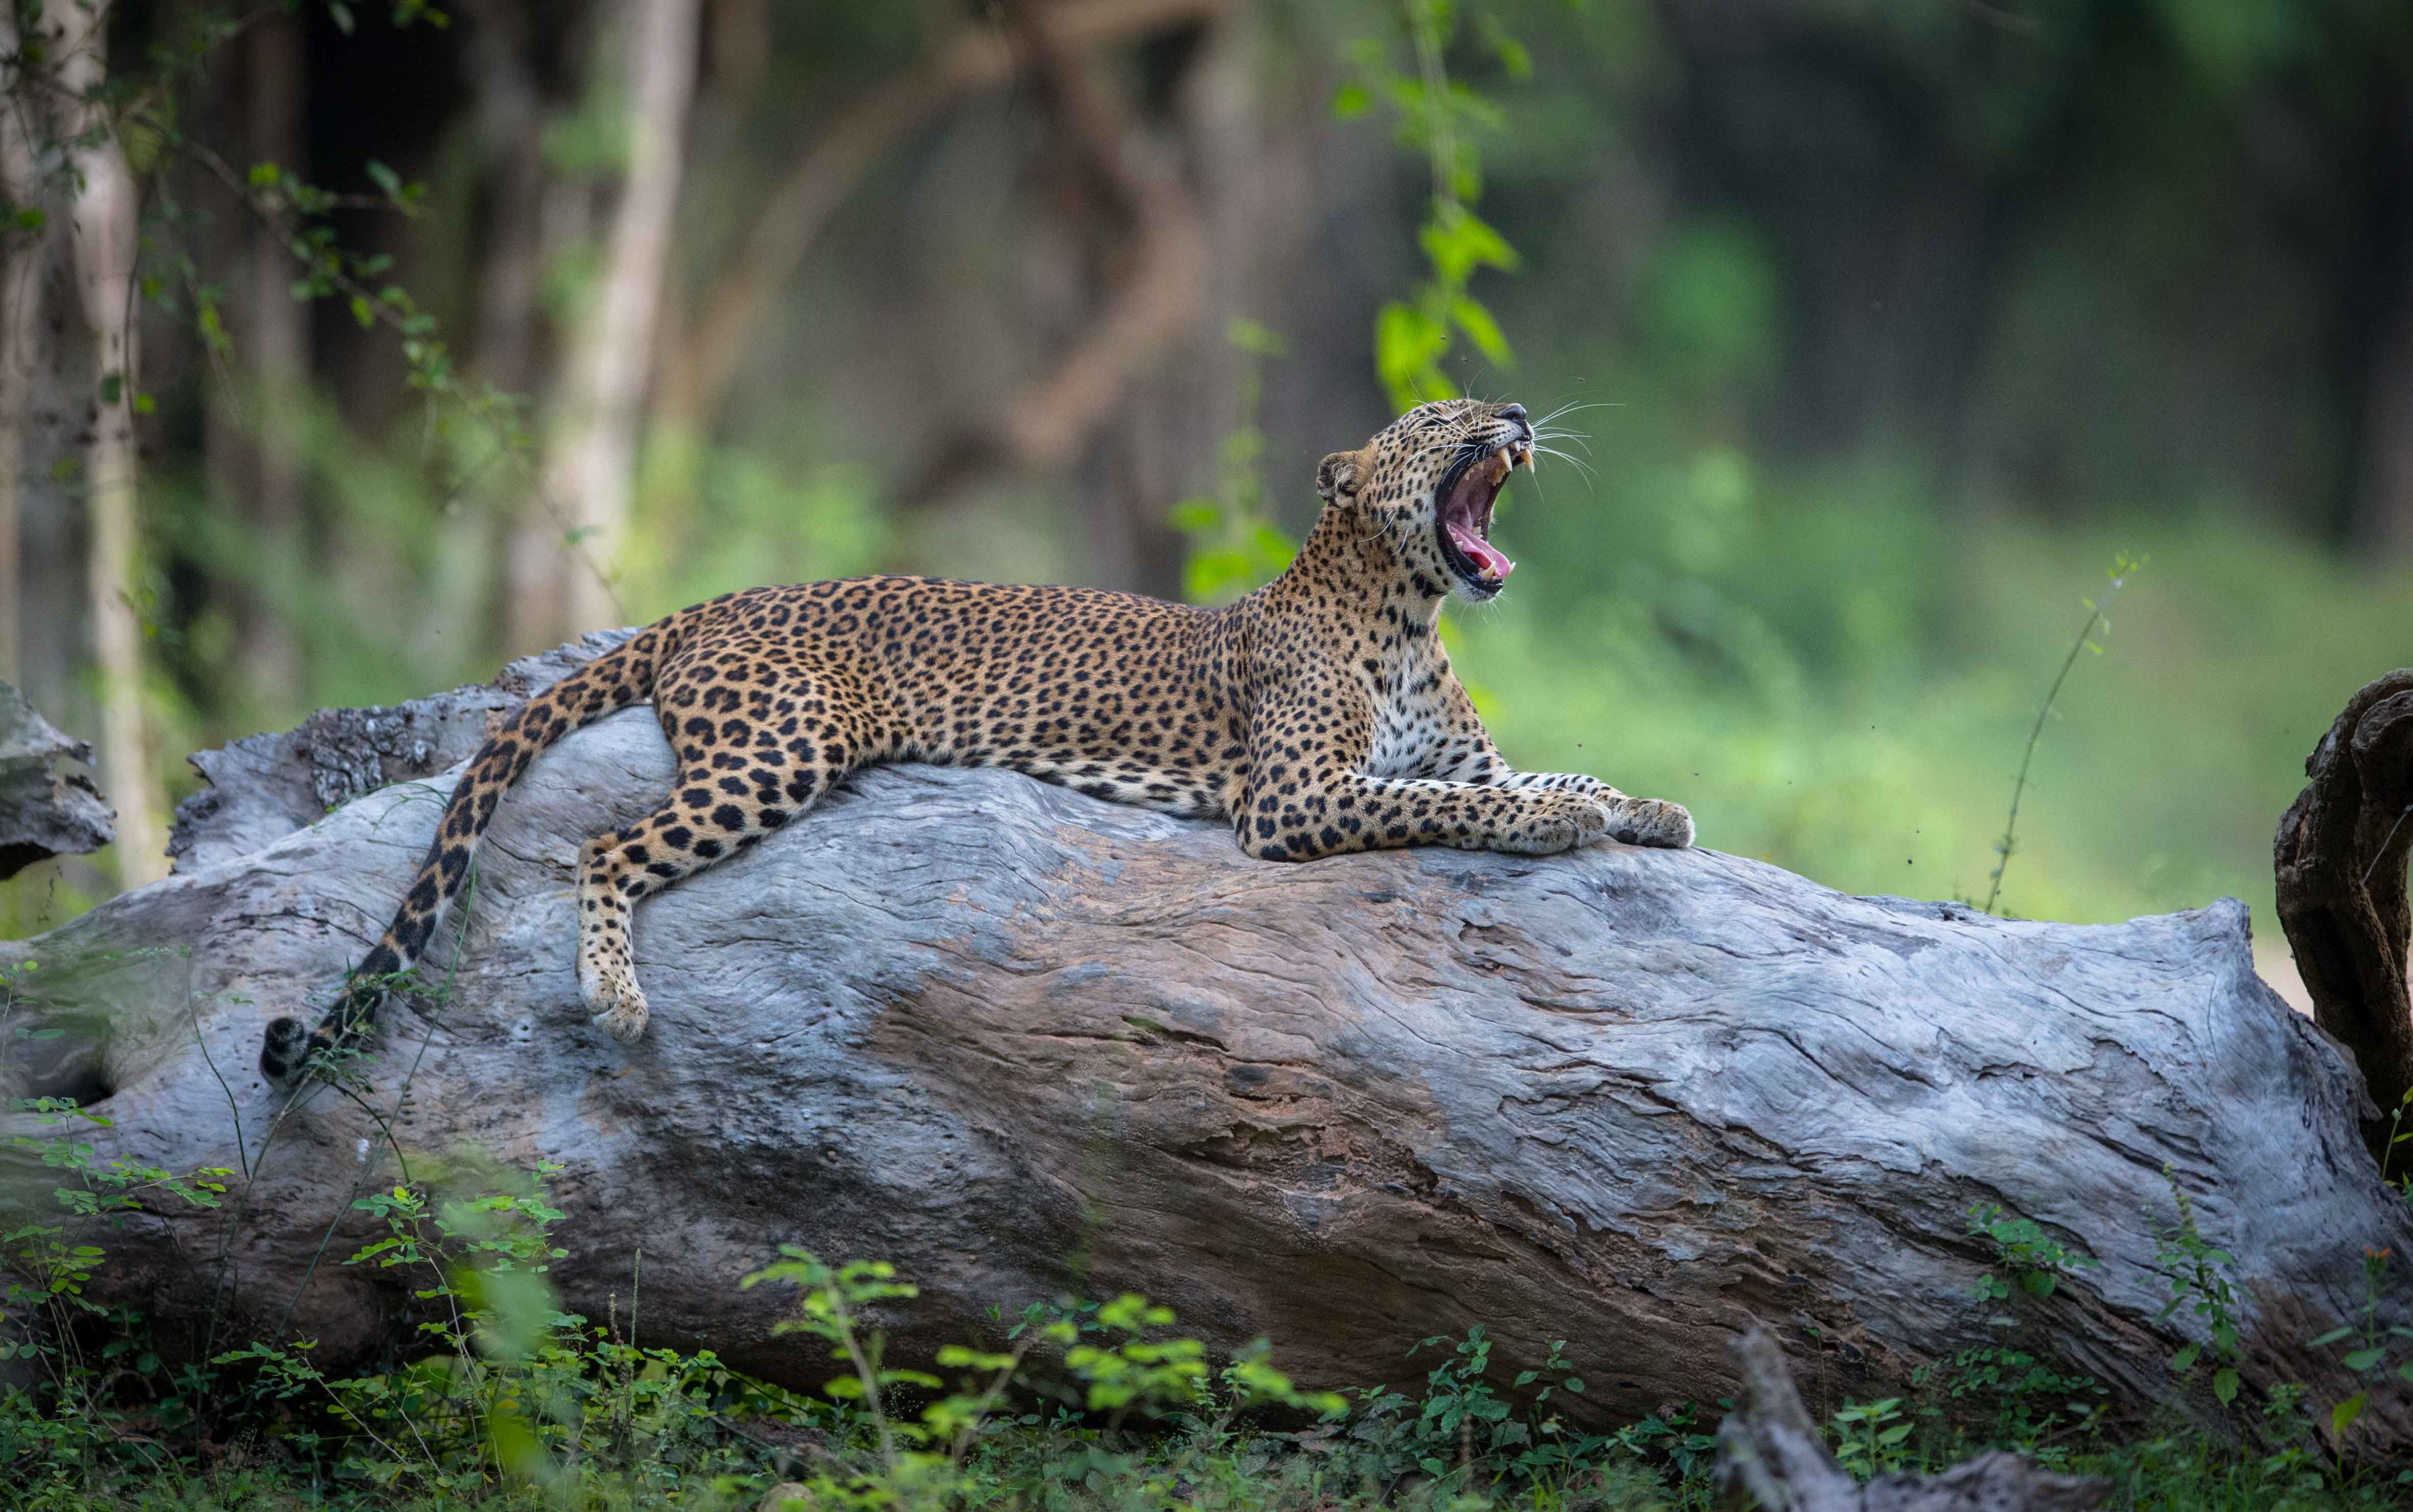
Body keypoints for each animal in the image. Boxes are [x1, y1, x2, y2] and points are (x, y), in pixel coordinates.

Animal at [258, 397, 1693, 1083]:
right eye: (1440, 417)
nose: (1517, 415)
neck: (1407, 611)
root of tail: (709, 601)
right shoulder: (1295, 801)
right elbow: (1468, 806)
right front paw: (1566, 822)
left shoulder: (1452, 759)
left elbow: (1532, 772)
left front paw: (1645, 807)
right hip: (777, 750)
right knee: (605, 848)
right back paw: (613, 997)